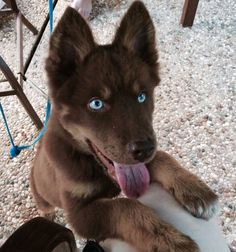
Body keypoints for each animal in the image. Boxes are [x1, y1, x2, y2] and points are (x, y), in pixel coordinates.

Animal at [30, 1, 218, 250]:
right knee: (45, 205)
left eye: (142, 96)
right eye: (96, 103)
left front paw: (194, 189)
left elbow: (162, 157)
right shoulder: (80, 214)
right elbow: (126, 208)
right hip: (41, 193)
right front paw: (171, 241)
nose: (145, 149)